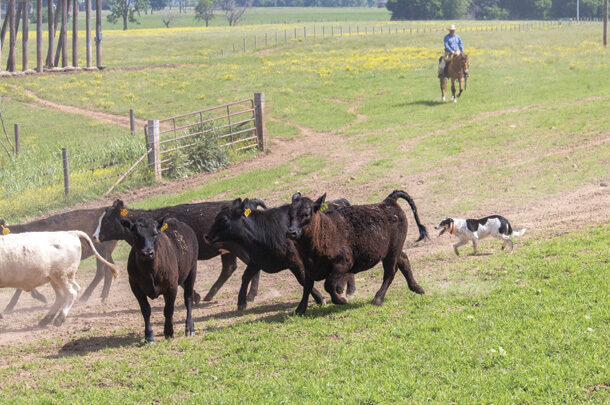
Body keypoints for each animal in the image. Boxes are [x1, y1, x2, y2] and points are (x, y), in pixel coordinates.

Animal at [204, 198, 356, 310]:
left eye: (223, 219)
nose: (206, 236)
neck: (262, 231)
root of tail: (340, 203)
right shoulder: (258, 260)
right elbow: (245, 276)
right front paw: (241, 302)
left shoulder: (294, 262)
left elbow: (302, 279)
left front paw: (319, 298)